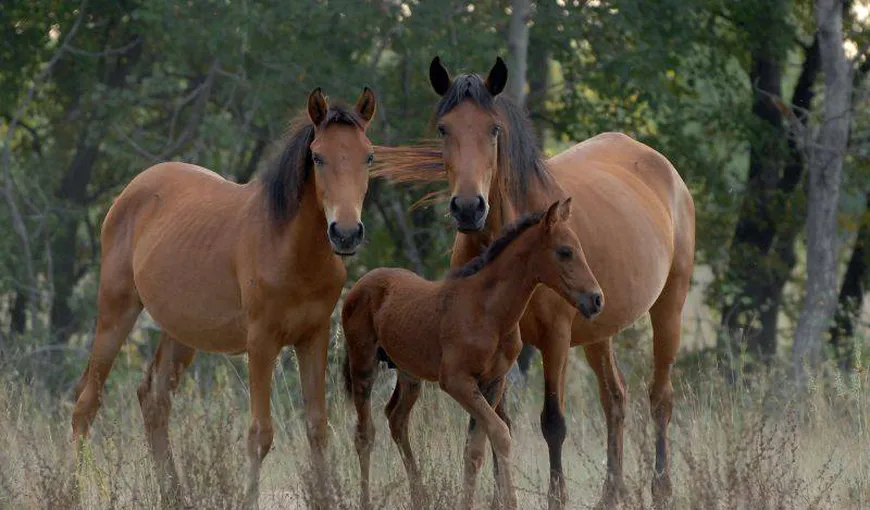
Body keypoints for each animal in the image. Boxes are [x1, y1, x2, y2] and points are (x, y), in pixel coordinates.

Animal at [70, 85, 376, 508]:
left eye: (369, 155)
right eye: (318, 156)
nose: (346, 233)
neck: (290, 249)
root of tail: (130, 192)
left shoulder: (312, 338)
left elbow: (318, 428)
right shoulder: (261, 343)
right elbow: (260, 435)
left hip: (181, 333)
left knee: (154, 401)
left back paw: (174, 497)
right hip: (116, 311)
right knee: (86, 404)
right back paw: (66, 492)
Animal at [342, 200, 608, 510]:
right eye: (565, 251)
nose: (596, 300)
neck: (488, 311)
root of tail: (360, 284)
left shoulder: (492, 382)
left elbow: (476, 449)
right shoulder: (456, 381)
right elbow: (501, 434)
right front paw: (509, 502)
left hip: (409, 373)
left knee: (396, 419)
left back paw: (420, 497)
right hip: (363, 364)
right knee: (364, 434)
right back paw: (366, 500)